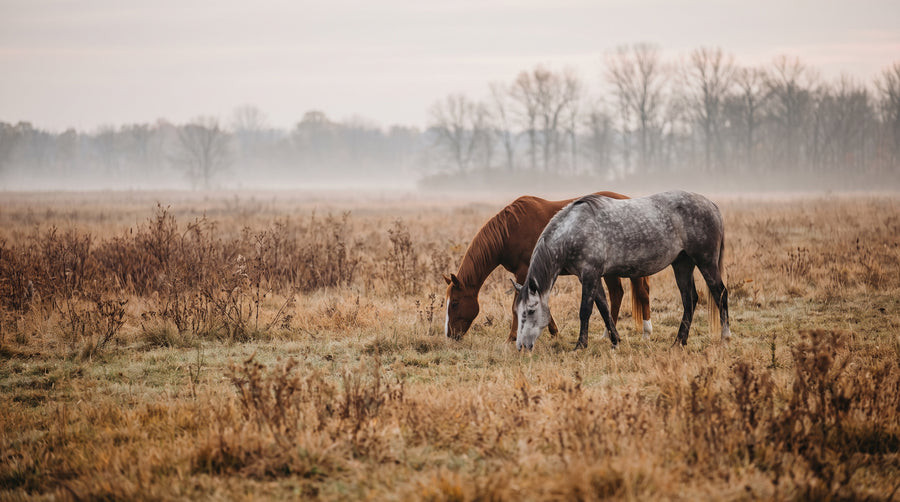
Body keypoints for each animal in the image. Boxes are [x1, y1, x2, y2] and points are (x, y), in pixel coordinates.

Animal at [443, 192, 653, 342]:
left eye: (454, 303)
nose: (450, 335)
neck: (509, 231)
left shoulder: (523, 272)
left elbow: (516, 304)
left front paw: (512, 337)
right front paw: (554, 332)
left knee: (640, 293)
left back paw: (646, 333)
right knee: (617, 294)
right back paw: (607, 334)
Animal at [514, 190, 729, 351]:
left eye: (531, 310)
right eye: (518, 311)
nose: (522, 346)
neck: (573, 230)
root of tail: (712, 205)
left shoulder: (590, 275)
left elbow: (585, 310)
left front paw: (580, 345)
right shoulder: (591, 277)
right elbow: (604, 308)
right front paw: (615, 341)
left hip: (706, 262)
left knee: (720, 293)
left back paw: (725, 337)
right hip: (682, 264)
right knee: (689, 299)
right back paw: (679, 342)